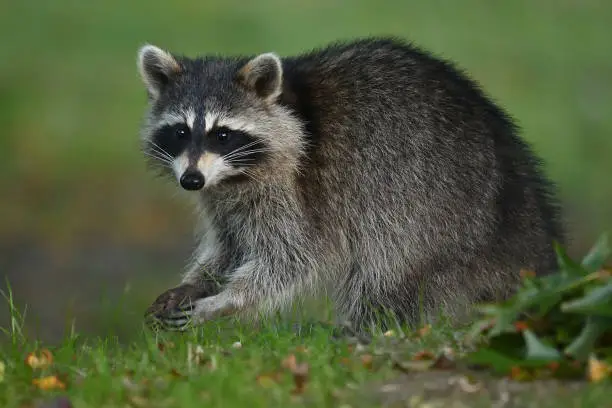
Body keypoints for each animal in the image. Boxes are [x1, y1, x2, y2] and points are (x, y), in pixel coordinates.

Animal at [137, 37, 564, 332]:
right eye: (180, 131)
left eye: (222, 135)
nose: (191, 180)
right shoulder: (223, 197)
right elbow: (232, 245)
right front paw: (197, 284)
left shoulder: (298, 189)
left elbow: (290, 258)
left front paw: (227, 300)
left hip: (432, 208)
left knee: (390, 265)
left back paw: (365, 326)